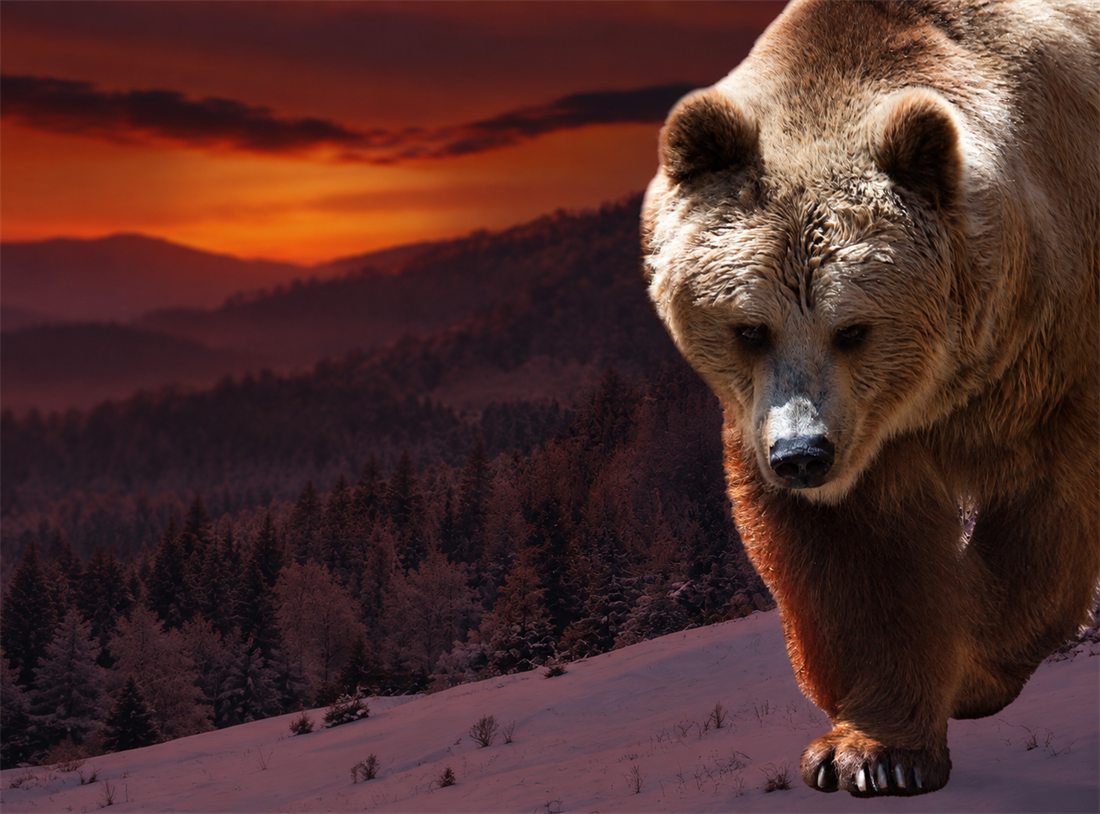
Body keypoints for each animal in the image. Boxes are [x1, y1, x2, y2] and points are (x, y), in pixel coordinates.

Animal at [641, 0, 1099, 797]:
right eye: (749, 328)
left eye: (853, 327)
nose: (802, 454)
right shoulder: (841, 436)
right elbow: (860, 562)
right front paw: (872, 750)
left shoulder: (1050, 365)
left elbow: (1046, 519)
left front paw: (974, 667)